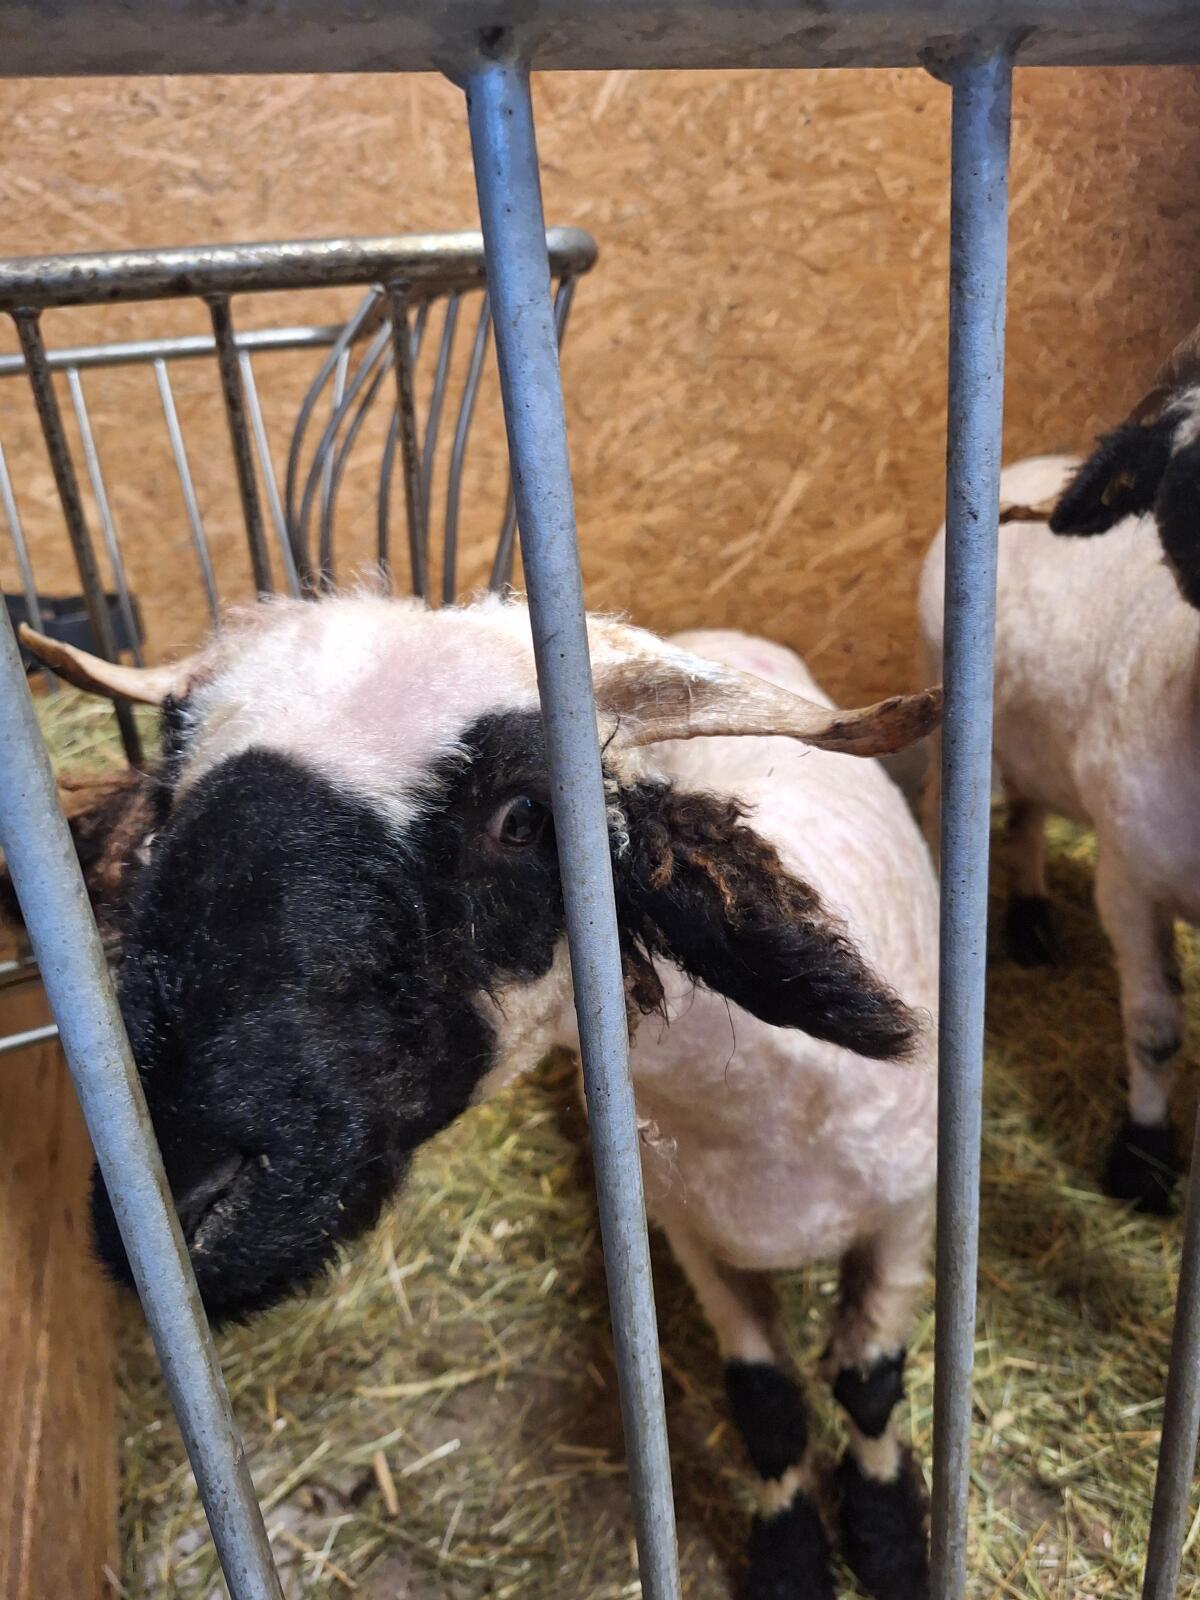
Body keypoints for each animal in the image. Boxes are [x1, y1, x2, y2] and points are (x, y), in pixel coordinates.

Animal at [16, 597, 941, 1600]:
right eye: (171, 788)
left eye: (525, 815)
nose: (180, 1193)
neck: (756, 1114)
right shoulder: (693, 1238)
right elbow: (766, 1405)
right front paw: (792, 1558)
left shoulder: (908, 1217)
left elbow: (868, 1386)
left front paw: (890, 1536)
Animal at [918, 325, 1200, 1215]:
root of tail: (1024, 467)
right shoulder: (1131, 881)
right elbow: (1155, 1032)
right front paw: (1143, 1158)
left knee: (1027, 815)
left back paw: (1032, 919)